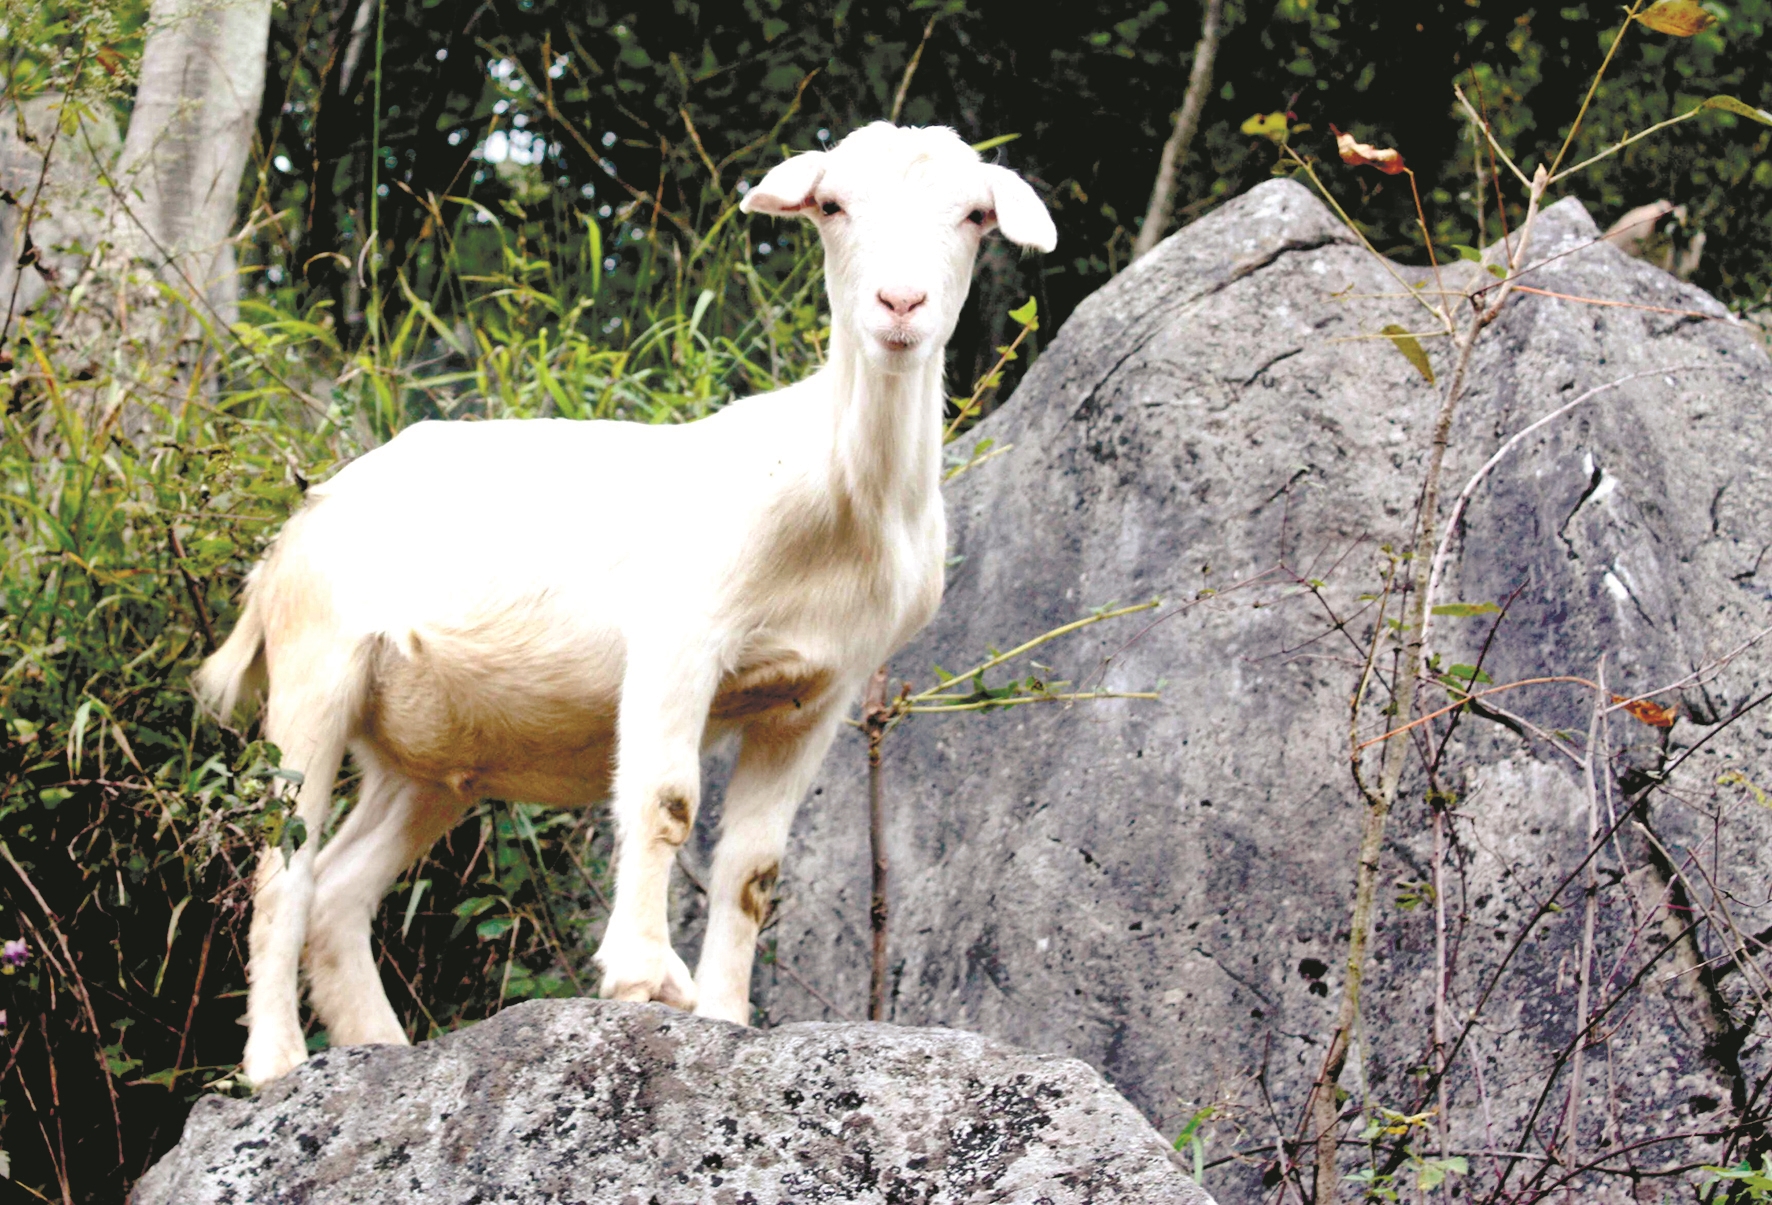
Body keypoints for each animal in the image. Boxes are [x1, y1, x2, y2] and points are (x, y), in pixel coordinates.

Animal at [194, 119, 1049, 1084]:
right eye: (832, 205)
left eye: (974, 216)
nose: (899, 303)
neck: (834, 489)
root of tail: (288, 538)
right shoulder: (683, 634)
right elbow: (666, 801)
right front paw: (643, 976)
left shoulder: (815, 694)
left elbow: (753, 868)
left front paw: (724, 1013)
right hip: (315, 666)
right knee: (283, 865)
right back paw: (274, 1062)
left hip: (427, 756)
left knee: (341, 886)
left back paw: (378, 1044)